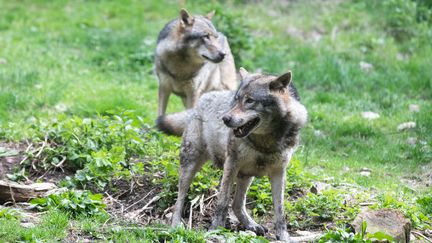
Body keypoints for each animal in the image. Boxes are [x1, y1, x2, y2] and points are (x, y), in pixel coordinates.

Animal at [155, 67, 308, 240]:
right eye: (237, 99)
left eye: (250, 101)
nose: (225, 118)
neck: (265, 142)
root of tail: (200, 102)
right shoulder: (231, 164)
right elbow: (222, 202)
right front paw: (215, 230)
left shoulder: (279, 172)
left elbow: (280, 211)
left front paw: (283, 237)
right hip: (190, 166)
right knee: (179, 199)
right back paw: (175, 226)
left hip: (247, 175)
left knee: (237, 205)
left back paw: (252, 225)